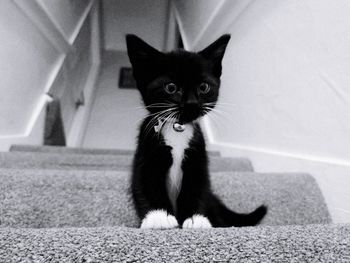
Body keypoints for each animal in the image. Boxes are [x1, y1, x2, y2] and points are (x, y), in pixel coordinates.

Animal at [127, 34, 266, 229]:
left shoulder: (198, 155)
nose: (192, 103)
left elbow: (197, 186)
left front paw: (196, 218)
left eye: (203, 87)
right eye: (171, 88)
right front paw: (158, 217)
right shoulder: (147, 150)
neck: (178, 129)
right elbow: (146, 182)